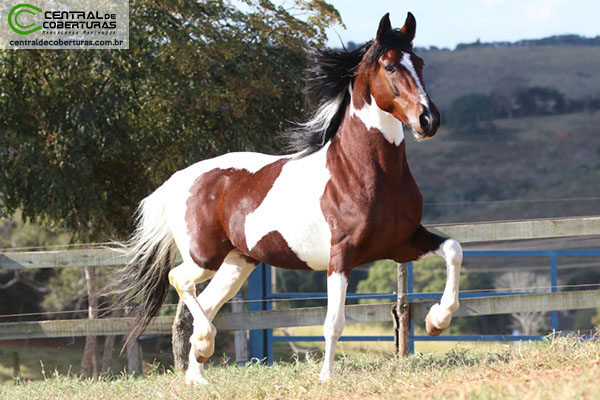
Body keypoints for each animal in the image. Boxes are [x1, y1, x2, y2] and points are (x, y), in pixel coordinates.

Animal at [118, 12, 464, 386]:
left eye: (419, 62)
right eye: (389, 66)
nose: (429, 119)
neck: (363, 173)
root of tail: (178, 181)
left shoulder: (403, 243)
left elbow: (454, 250)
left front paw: (436, 321)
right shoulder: (341, 256)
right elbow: (333, 322)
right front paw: (326, 376)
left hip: (238, 262)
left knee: (206, 304)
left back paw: (198, 375)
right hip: (204, 258)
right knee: (179, 281)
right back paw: (204, 348)